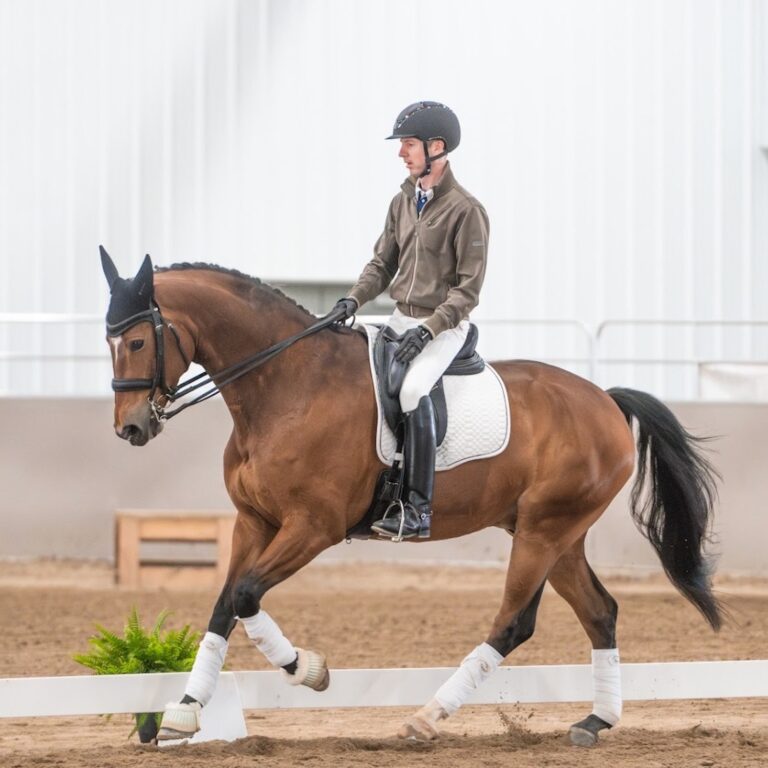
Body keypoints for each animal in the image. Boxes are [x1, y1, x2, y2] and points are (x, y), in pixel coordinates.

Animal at [100, 248, 722, 746]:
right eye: (108, 343)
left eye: (136, 340)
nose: (130, 428)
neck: (288, 384)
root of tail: (606, 400)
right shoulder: (253, 521)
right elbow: (225, 605)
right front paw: (184, 711)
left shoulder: (314, 526)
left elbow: (248, 594)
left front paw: (310, 671)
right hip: (554, 534)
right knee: (599, 612)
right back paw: (596, 722)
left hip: (545, 531)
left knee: (513, 623)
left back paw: (427, 717)